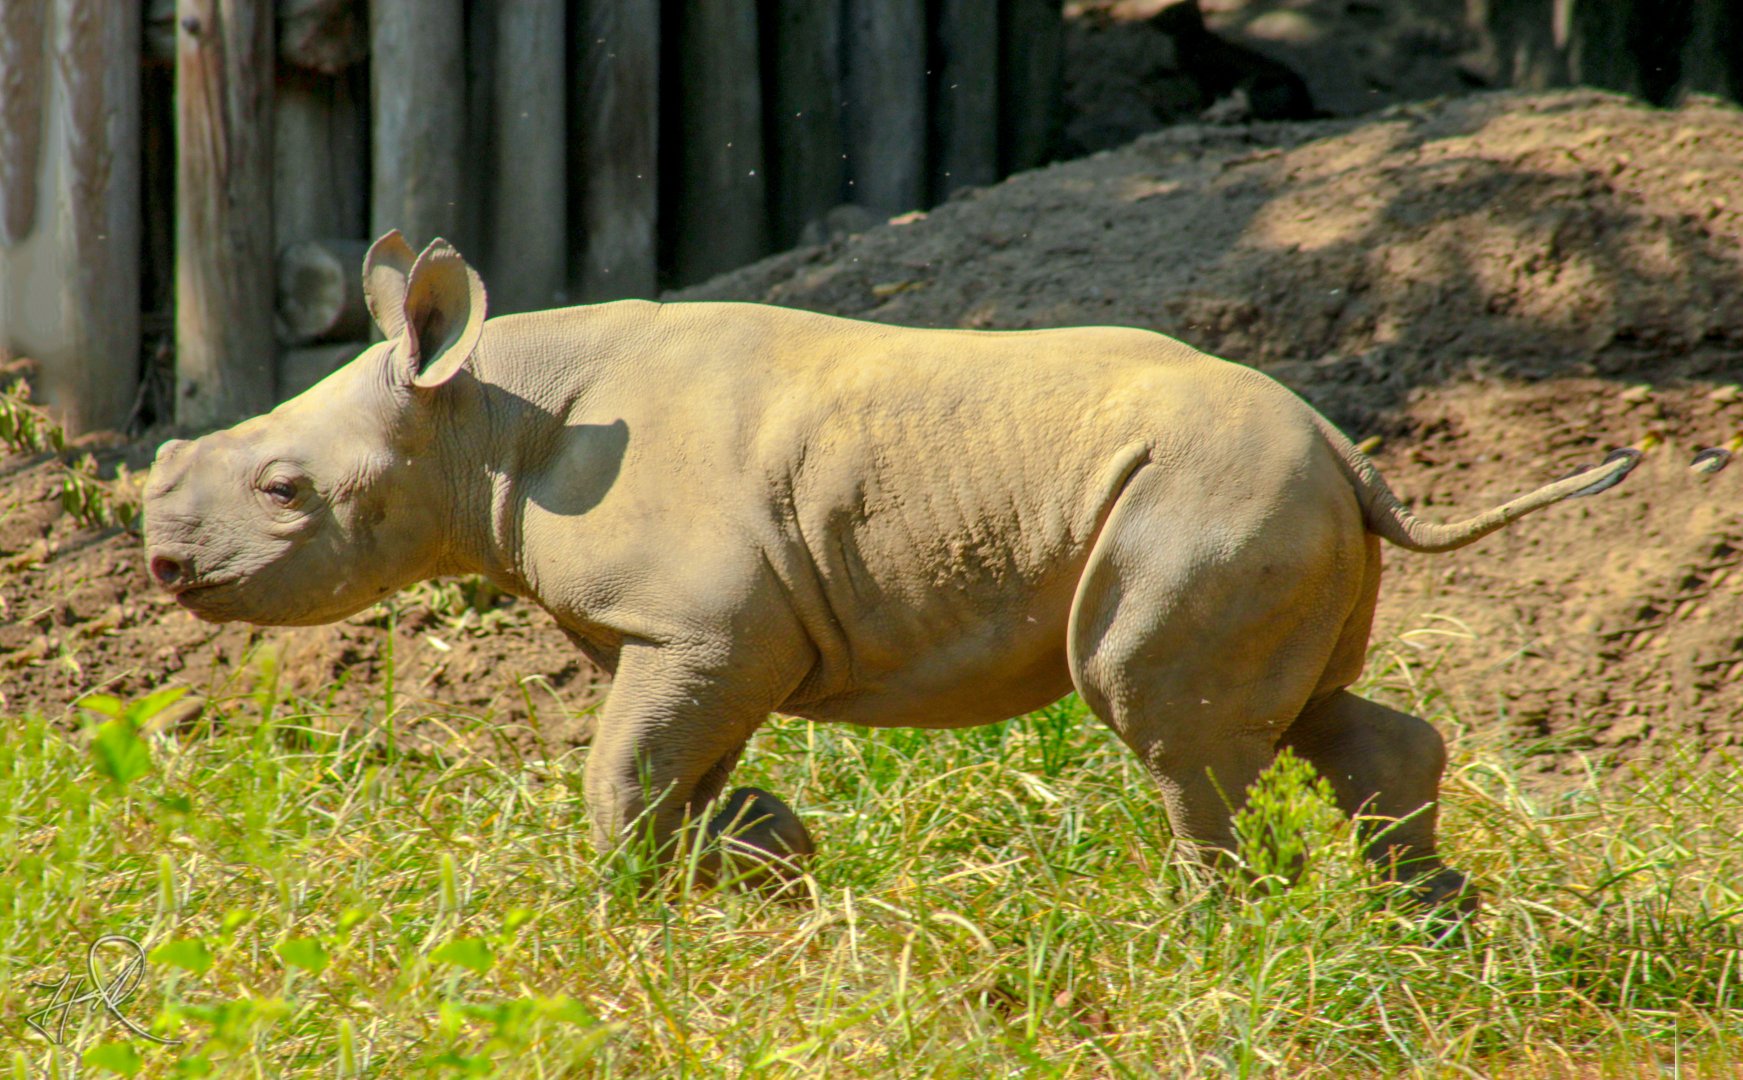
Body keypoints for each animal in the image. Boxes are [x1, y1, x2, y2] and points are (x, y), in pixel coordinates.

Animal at [143, 233, 1641, 908]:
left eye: (286, 494)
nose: (162, 565)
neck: (483, 414)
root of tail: (1348, 447)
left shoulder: (705, 624)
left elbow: (625, 768)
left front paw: (634, 912)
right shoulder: (693, 633)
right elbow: (677, 766)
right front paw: (766, 865)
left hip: (1211, 499)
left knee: (1166, 721)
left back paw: (1205, 930)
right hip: (1276, 504)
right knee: (1302, 711)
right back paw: (1423, 926)